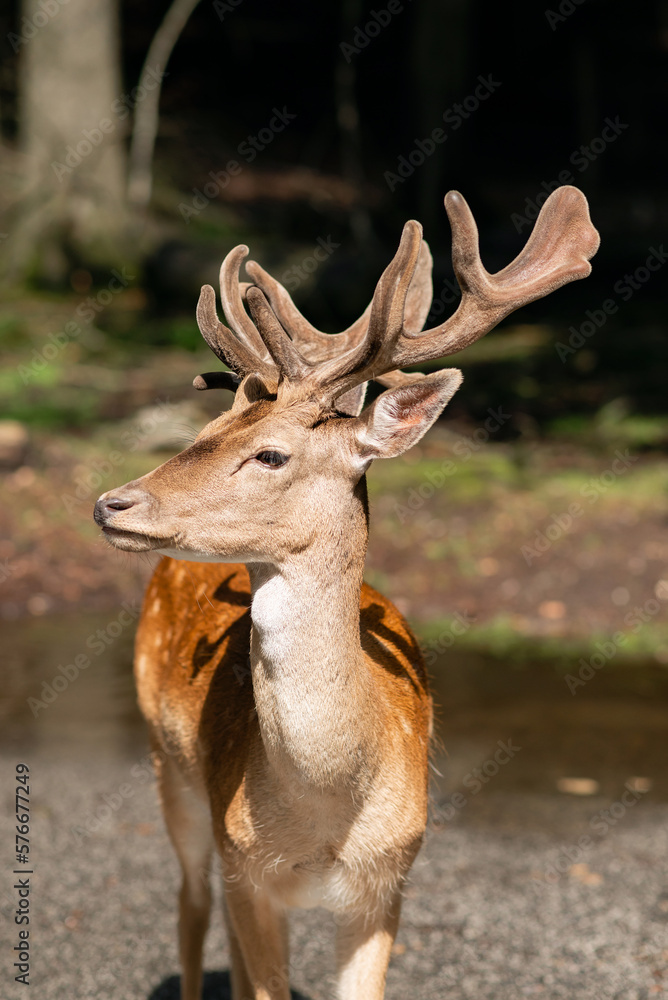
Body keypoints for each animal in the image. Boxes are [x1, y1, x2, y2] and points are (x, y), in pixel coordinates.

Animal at [93, 186, 599, 1000]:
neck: (328, 814)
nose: (112, 503)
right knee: (190, 904)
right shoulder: (249, 869)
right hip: (170, 768)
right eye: (203, 433)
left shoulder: (388, 879)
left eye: (270, 454)